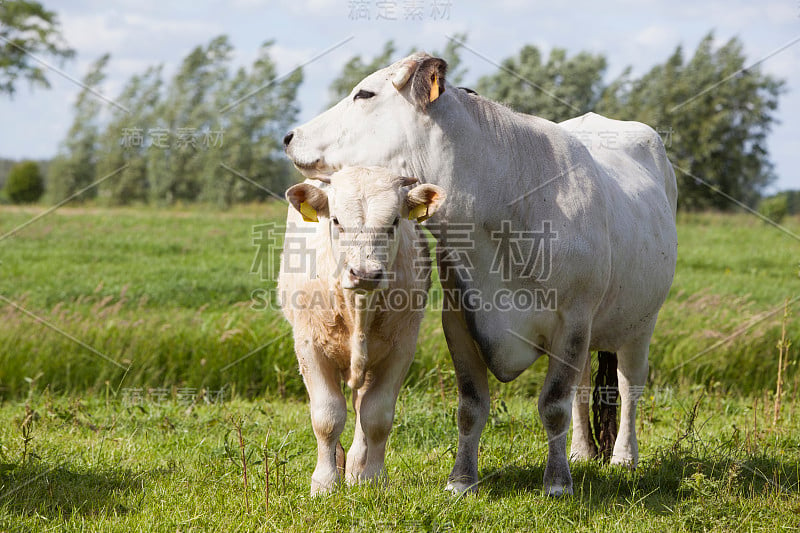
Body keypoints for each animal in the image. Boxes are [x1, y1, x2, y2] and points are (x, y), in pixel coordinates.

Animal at [278, 164, 446, 492]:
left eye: (394, 221)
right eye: (335, 220)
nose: (366, 273)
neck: (358, 311)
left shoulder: (401, 350)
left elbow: (376, 417)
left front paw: (372, 477)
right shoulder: (309, 347)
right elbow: (327, 416)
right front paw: (325, 482)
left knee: (360, 408)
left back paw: (355, 468)